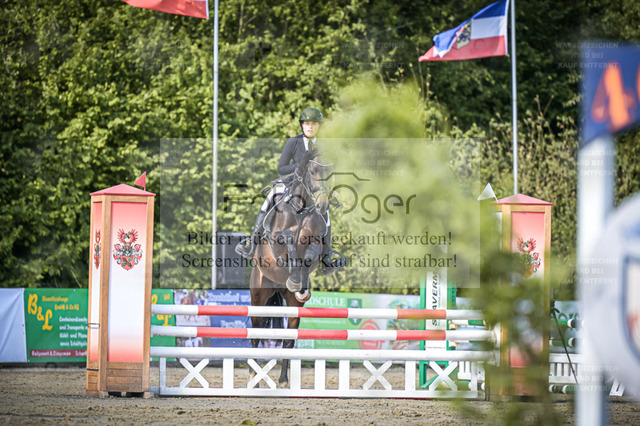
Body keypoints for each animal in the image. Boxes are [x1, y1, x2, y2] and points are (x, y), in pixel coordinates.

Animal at [249, 150, 333, 387]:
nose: (323, 205)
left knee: (288, 339)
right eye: (312, 171)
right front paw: (295, 275)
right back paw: (254, 378)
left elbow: (311, 254)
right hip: (258, 294)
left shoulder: (316, 242)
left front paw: (299, 282)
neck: (300, 209)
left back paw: (284, 380)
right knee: (255, 334)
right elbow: (287, 238)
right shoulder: (275, 241)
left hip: (292, 306)